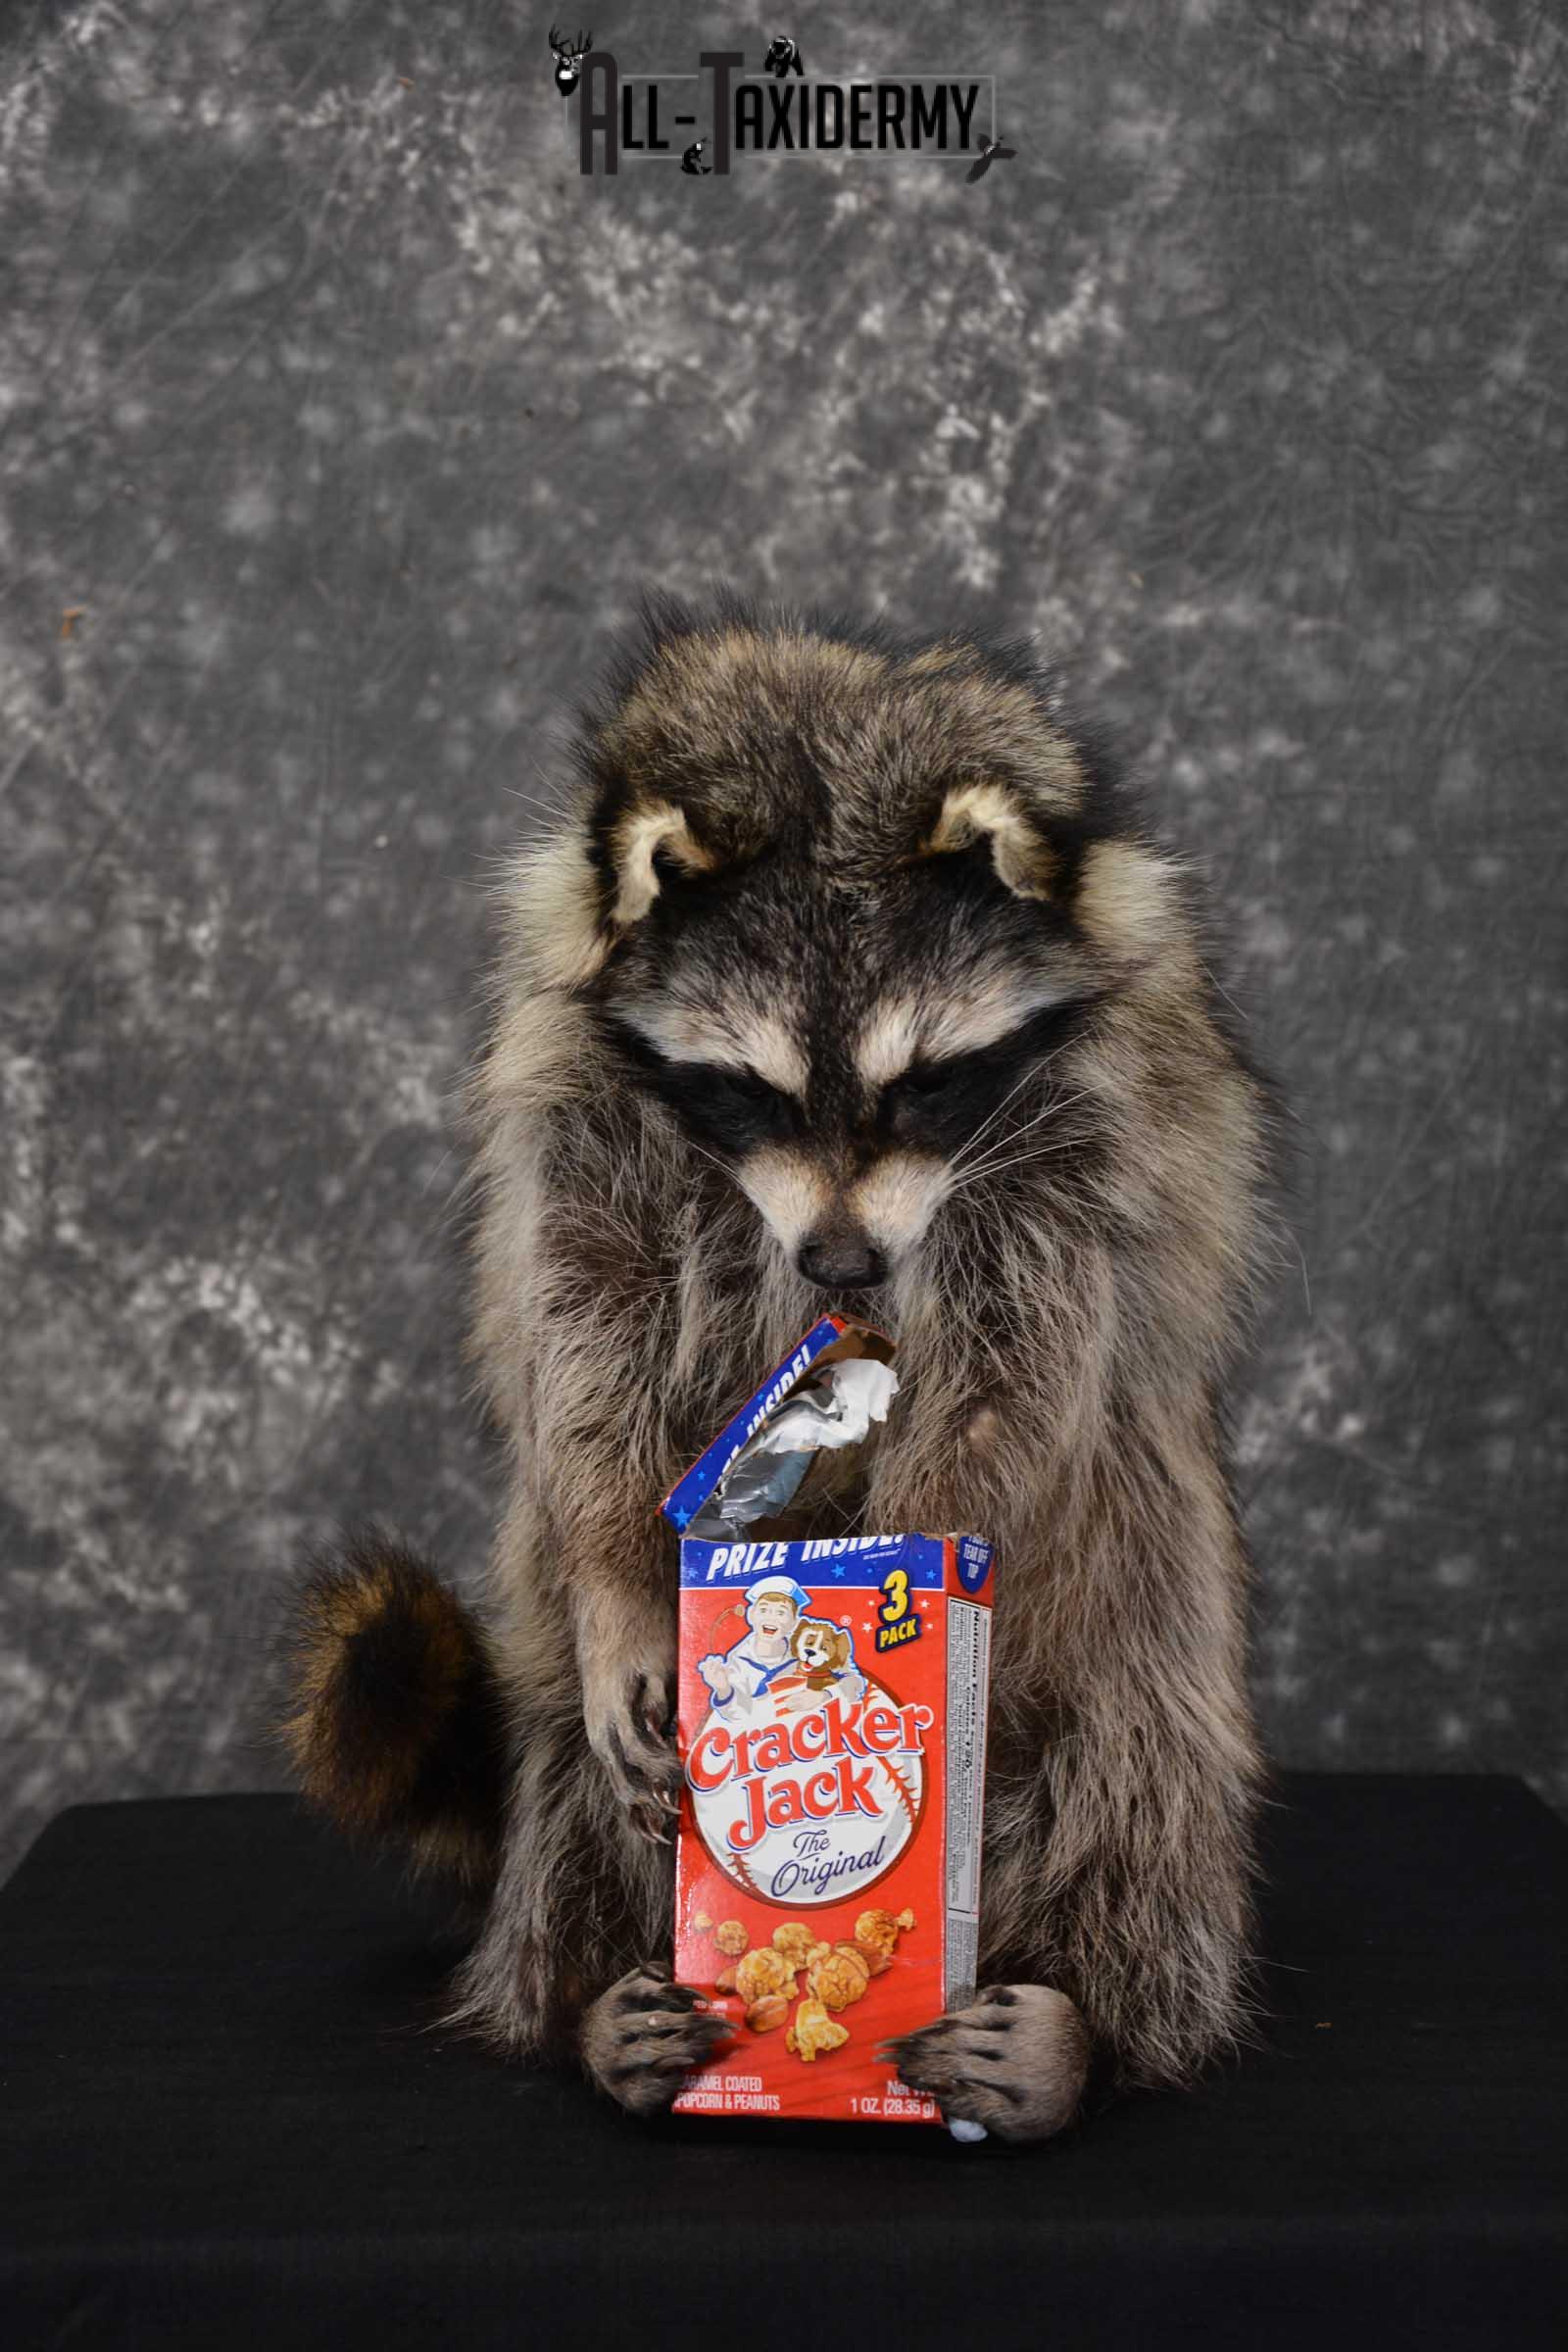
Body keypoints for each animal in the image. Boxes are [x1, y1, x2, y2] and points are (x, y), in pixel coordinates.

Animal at [281, 596, 1277, 2143]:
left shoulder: (1091, 1121)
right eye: (746, 1089)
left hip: (1147, 1608)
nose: (844, 1266)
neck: (821, 756)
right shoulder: (569, 1071)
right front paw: (626, 1578)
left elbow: (1022, 1360)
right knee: (570, 1780)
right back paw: (596, 2005)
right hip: (554, 1699)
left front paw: (911, 1573)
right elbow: (583, 1311)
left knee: (1140, 1785)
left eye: (925, 1080)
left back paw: (1084, 2025)